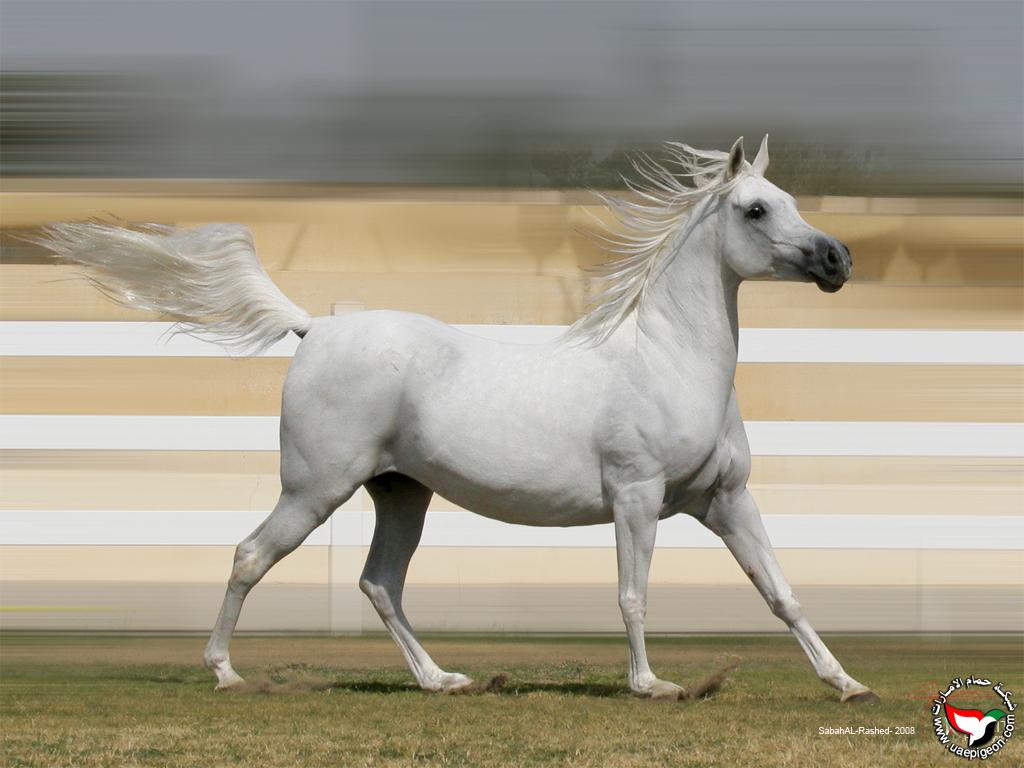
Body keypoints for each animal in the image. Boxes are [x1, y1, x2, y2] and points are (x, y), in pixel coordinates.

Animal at [37, 137, 872, 704]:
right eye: (756, 208)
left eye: (792, 198)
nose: (838, 261)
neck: (666, 364)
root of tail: (313, 328)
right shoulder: (636, 500)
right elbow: (633, 594)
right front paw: (651, 685)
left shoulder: (725, 502)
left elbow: (782, 592)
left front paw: (847, 684)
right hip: (315, 489)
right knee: (250, 556)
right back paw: (226, 672)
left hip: (402, 493)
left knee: (380, 584)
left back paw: (441, 678)